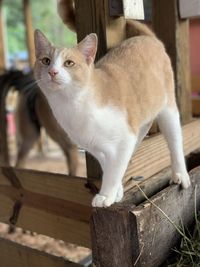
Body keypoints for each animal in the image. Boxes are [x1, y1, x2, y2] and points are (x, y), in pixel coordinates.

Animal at [34, 21, 191, 209]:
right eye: (46, 61)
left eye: (69, 63)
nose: (52, 72)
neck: (73, 105)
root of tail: (147, 38)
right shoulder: (98, 148)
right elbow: (111, 167)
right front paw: (116, 191)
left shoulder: (125, 139)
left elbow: (114, 170)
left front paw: (106, 195)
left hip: (168, 110)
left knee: (175, 142)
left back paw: (180, 174)